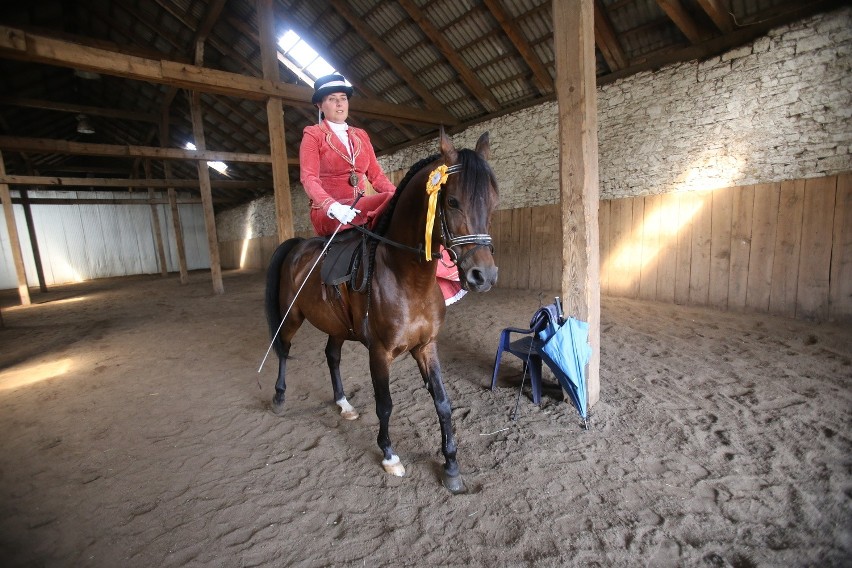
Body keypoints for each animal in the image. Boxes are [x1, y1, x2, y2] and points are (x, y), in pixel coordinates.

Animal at [262, 129, 496, 492]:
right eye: (453, 202)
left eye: (493, 201)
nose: (483, 276)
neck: (407, 276)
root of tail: (297, 245)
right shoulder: (380, 352)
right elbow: (385, 404)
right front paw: (389, 455)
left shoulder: (426, 346)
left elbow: (442, 402)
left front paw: (451, 466)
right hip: (292, 316)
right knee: (284, 349)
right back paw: (279, 398)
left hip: (336, 325)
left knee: (331, 355)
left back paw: (343, 404)